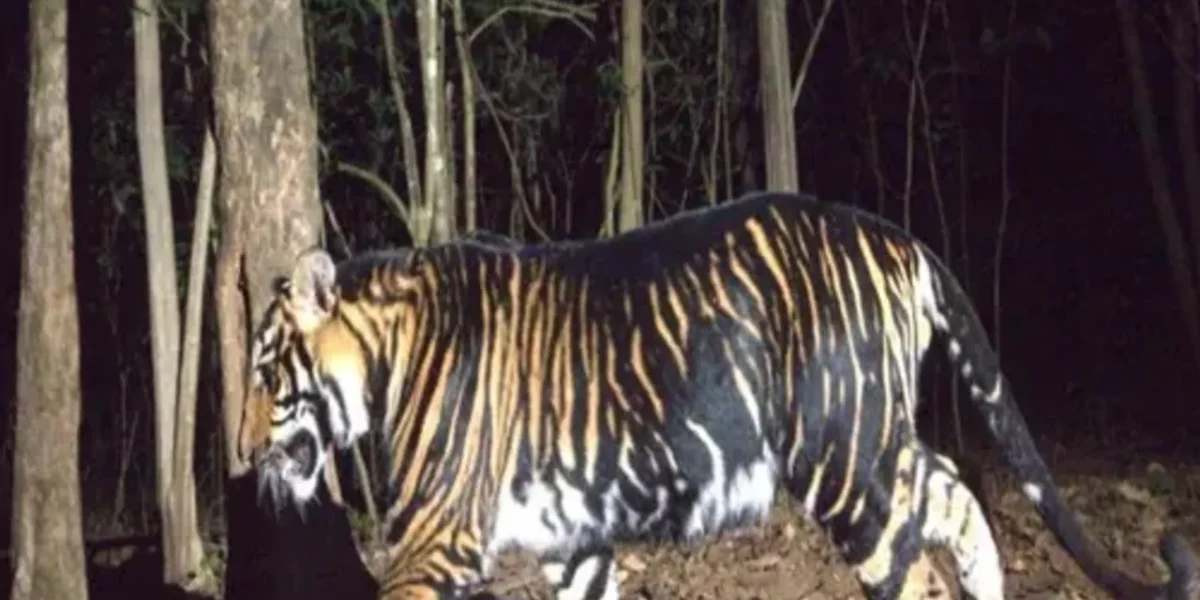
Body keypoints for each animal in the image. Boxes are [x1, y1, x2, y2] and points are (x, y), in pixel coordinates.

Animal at [236, 190, 1198, 600]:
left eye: (264, 373)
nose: (239, 459)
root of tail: (899, 237)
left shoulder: (435, 542)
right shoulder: (573, 541)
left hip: (842, 463)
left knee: (917, 565)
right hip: (875, 440)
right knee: (960, 497)